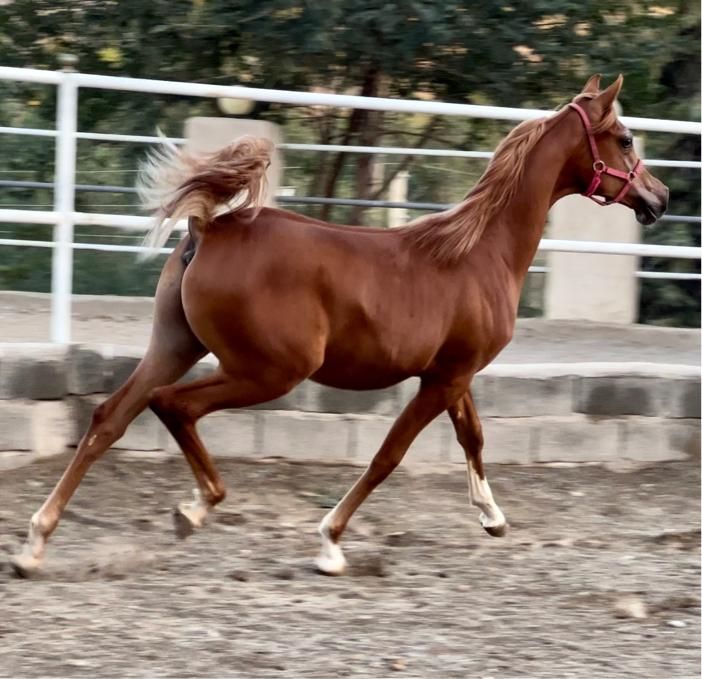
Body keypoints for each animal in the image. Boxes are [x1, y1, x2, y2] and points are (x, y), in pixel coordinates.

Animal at [12, 74, 672, 576]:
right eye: (624, 137)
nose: (659, 196)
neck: (477, 253)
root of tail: (209, 227)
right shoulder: (443, 378)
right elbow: (389, 456)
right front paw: (330, 543)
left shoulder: (454, 374)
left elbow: (475, 438)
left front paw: (493, 518)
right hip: (268, 370)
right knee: (174, 406)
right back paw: (195, 509)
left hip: (175, 345)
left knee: (109, 418)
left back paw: (35, 544)